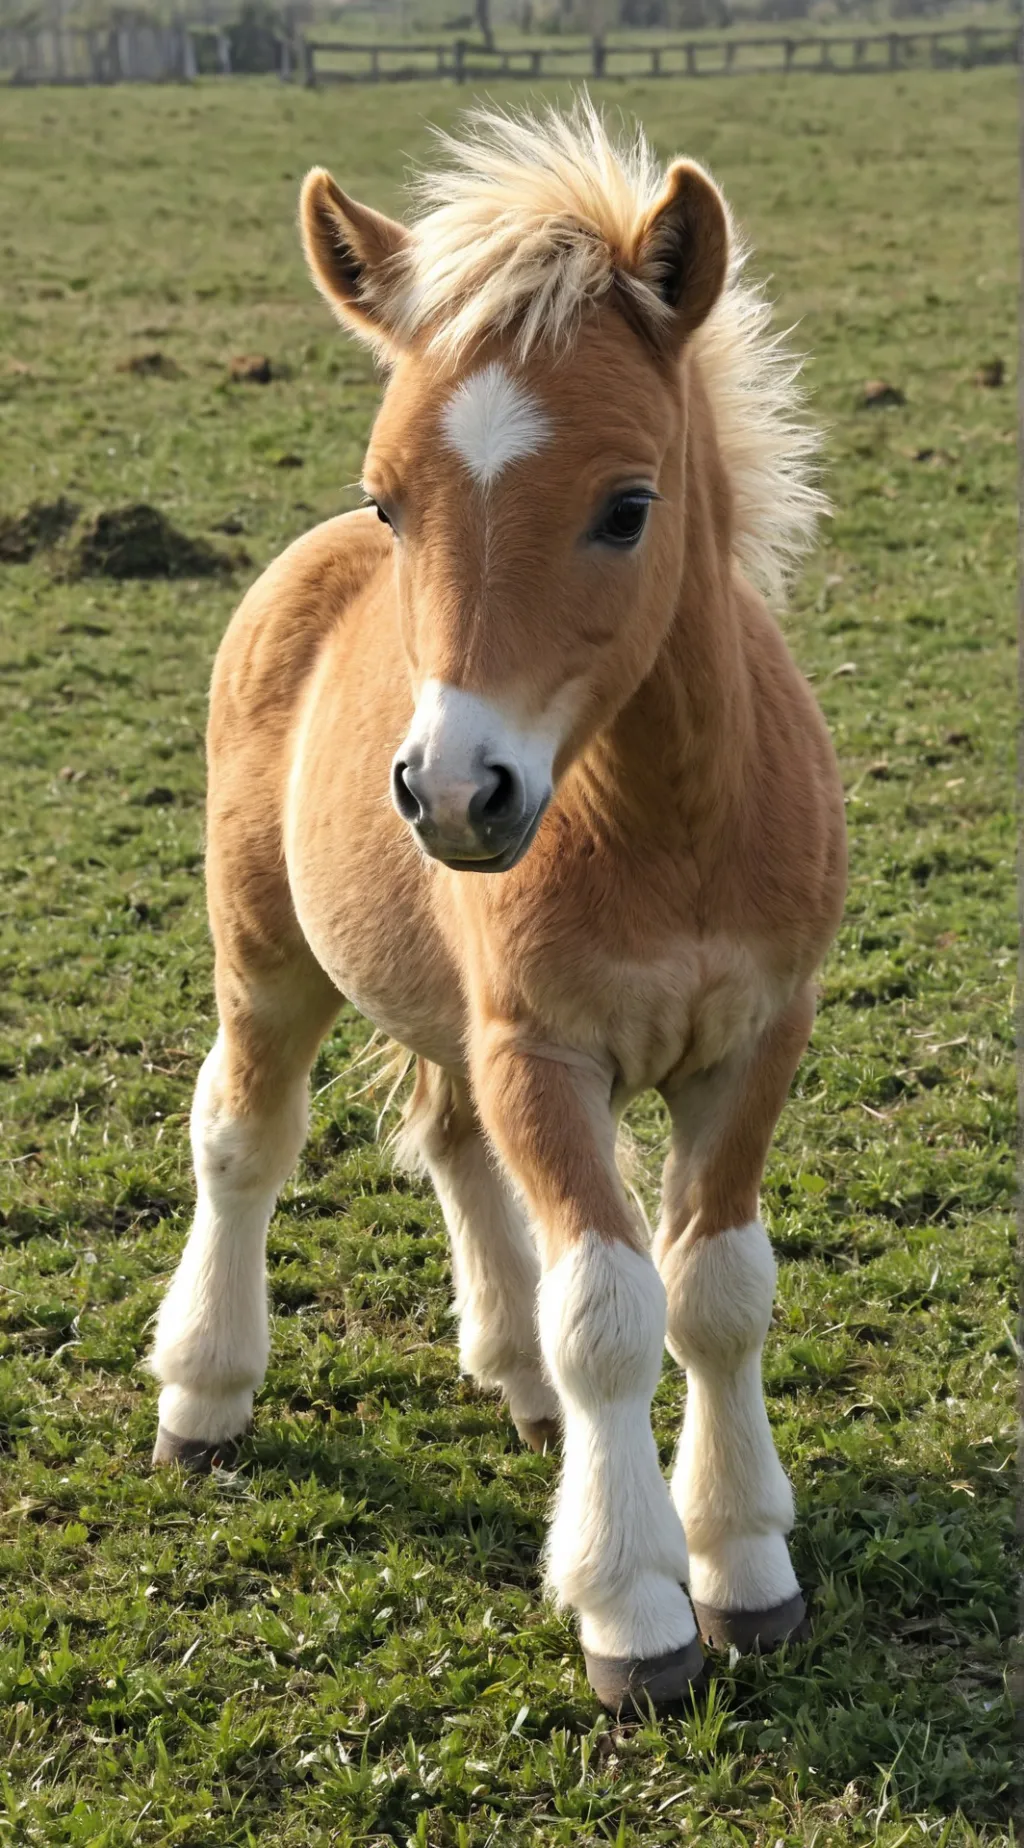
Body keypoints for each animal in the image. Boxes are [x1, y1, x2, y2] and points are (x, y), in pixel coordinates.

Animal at [147, 101, 846, 1715]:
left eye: (628, 506)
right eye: (391, 495)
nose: (456, 794)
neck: (665, 824)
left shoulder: (756, 1039)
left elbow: (717, 1292)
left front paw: (746, 1569)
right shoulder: (546, 1049)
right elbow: (612, 1313)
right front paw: (635, 1610)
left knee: (455, 1145)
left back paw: (514, 1381)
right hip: (266, 955)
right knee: (242, 1138)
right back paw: (204, 1393)